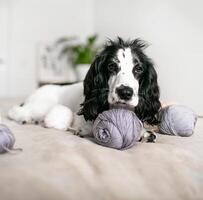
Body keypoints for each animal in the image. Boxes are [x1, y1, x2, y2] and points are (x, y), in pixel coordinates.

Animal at [7, 37, 161, 141]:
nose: (125, 93)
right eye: (111, 66)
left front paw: (145, 133)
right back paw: (25, 118)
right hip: (41, 106)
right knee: (15, 110)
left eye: (139, 69)